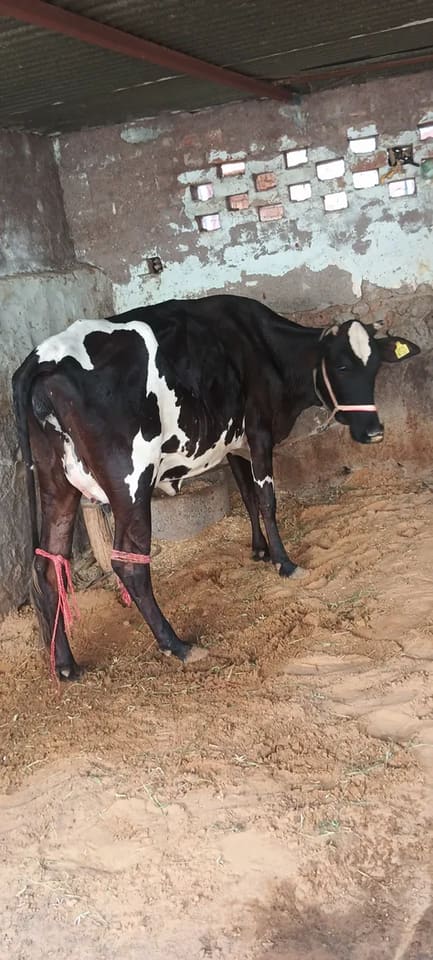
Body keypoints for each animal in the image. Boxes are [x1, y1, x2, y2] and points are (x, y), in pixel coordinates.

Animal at [12, 295, 419, 680]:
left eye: (375, 366)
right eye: (341, 366)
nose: (374, 432)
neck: (265, 347)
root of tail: (43, 357)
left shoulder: (235, 443)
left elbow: (248, 495)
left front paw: (259, 550)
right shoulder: (259, 432)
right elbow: (267, 499)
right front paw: (285, 563)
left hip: (56, 480)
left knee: (46, 565)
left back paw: (65, 665)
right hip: (130, 480)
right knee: (128, 564)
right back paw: (177, 644)